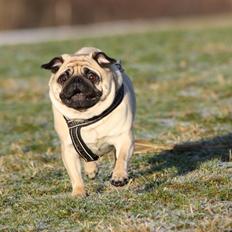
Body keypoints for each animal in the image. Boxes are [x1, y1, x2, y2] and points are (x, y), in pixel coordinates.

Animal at [41, 47, 136, 196]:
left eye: (92, 76)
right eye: (63, 78)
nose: (77, 80)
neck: (87, 115)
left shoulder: (124, 138)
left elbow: (121, 158)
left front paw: (119, 176)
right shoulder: (69, 149)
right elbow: (75, 175)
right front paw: (79, 192)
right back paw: (91, 170)